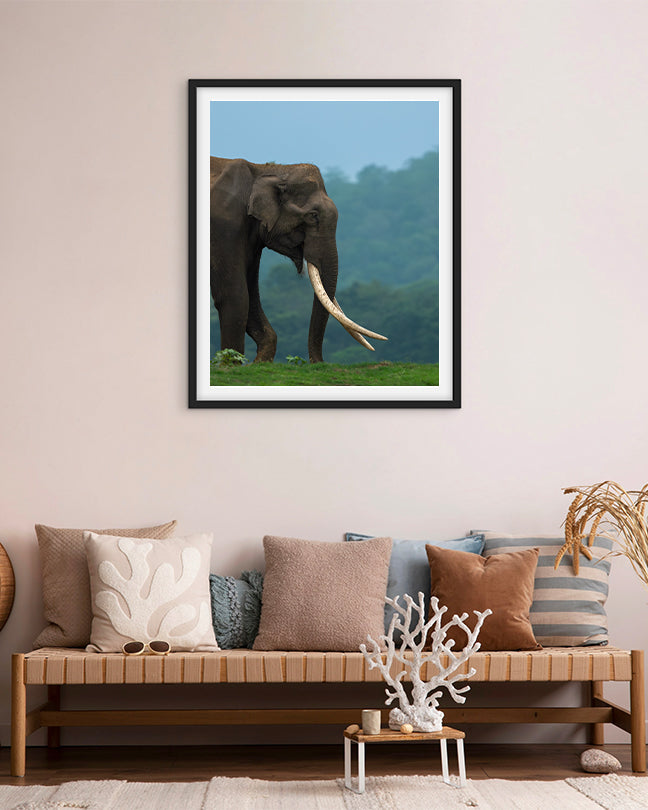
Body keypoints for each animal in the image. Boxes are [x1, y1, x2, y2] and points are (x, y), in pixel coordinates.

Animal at [210, 157, 387, 363]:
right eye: (313, 216)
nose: (318, 363)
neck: (265, 170)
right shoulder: (224, 226)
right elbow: (235, 295)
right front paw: (231, 364)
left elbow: (251, 294)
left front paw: (258, 361)